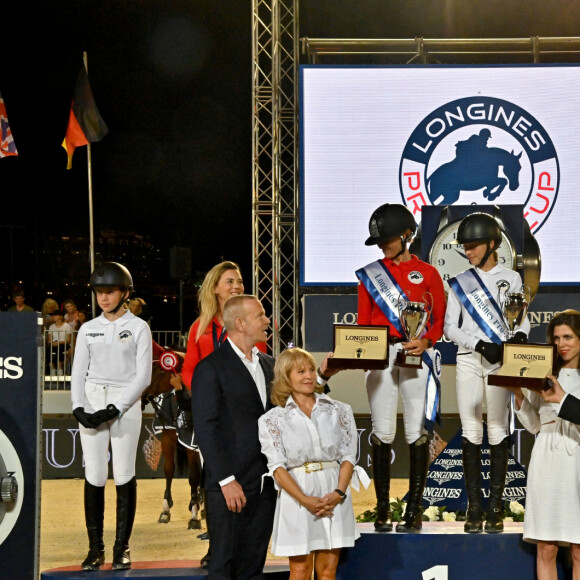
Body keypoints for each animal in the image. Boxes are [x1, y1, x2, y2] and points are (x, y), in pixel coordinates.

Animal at [141, 344, 203, 532]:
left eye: (154, 370)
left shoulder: (193, 444)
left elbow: (195, 476)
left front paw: (195, 512)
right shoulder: (171, 437)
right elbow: (170, 470)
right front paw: (167, 508)